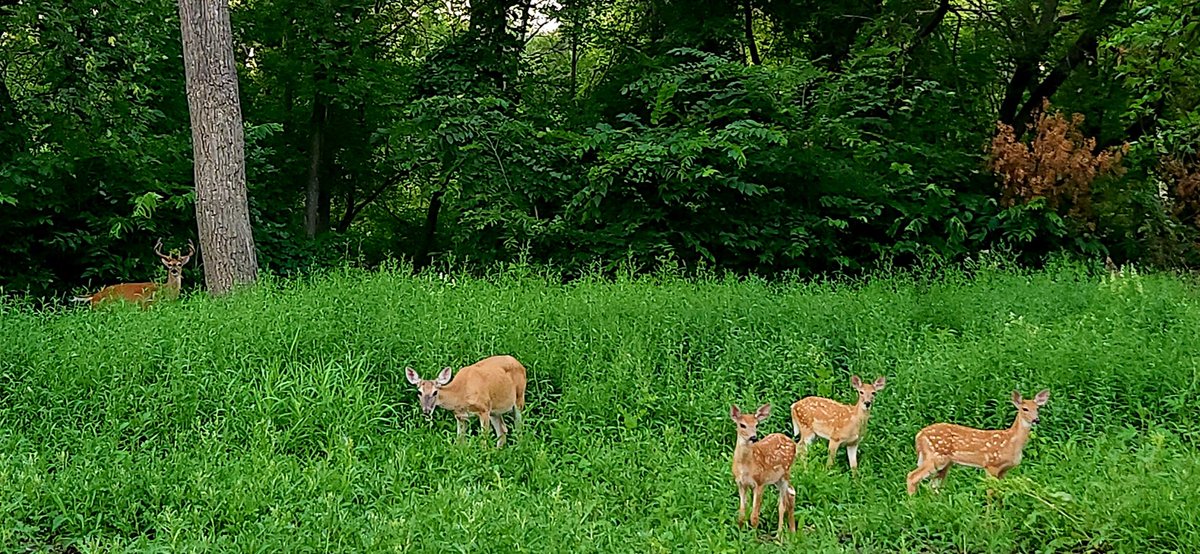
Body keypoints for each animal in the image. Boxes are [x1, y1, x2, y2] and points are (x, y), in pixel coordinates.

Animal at [730, 404, 797, 536]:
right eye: (742, 425)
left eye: (756, 425)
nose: (754, 437)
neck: (745, 466)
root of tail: (792, 442)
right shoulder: (740, 483)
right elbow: (741, 515)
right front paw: (739, 535)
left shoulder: (760, 482)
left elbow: (754, 516)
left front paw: (753, 538)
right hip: (776, 479)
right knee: (790, 493)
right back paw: (792, 531)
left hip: (785, 473)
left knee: (782, 504)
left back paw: (779, 536)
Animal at [906, 389, 1050, 495]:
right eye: (1025, 409)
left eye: (1038, 408)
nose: (1036, 420)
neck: (1012, 442)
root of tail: (919, 435)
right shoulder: (991, 464)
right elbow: (991, 492)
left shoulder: (1004, 470)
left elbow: (1001, 492)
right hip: (935, 457)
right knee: (912, 476)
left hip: (945, 463)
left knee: (933, 485)